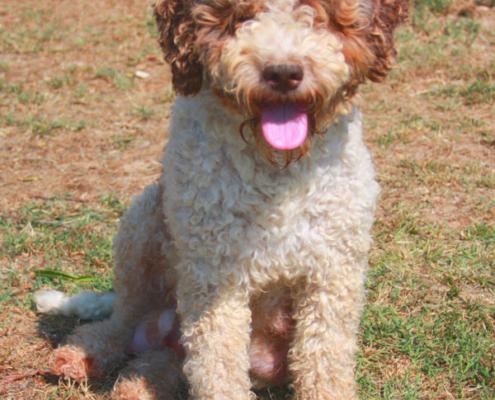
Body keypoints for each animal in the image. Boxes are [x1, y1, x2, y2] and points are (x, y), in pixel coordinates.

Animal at [35, 0, 408, 400]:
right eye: (240, 15)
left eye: (320, 12)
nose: (283, 73)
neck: (276, 173)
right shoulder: (214, 275)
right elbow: (218, 368)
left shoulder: (333, 272)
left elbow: (325, 363)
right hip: (143, 223)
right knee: (125, 315)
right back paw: (83, 355)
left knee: (165, 360)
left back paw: (135, 386)